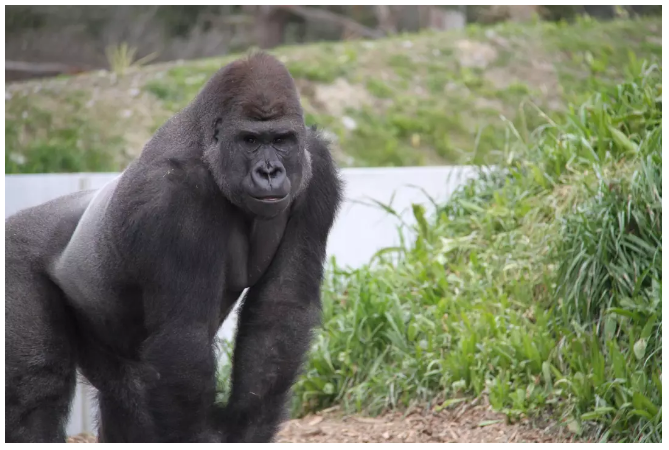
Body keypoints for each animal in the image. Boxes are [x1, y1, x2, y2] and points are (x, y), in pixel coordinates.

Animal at [6, 53, 344, 442]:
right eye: (250, 140)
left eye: (281, 139)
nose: (270, 171)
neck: (209, 152)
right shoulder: (173, 198)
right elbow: (184, 335)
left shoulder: (316, 168)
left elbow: (281, 308)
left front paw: (247, 426)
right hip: (15, 256)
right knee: (38, 388)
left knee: (125, 398)